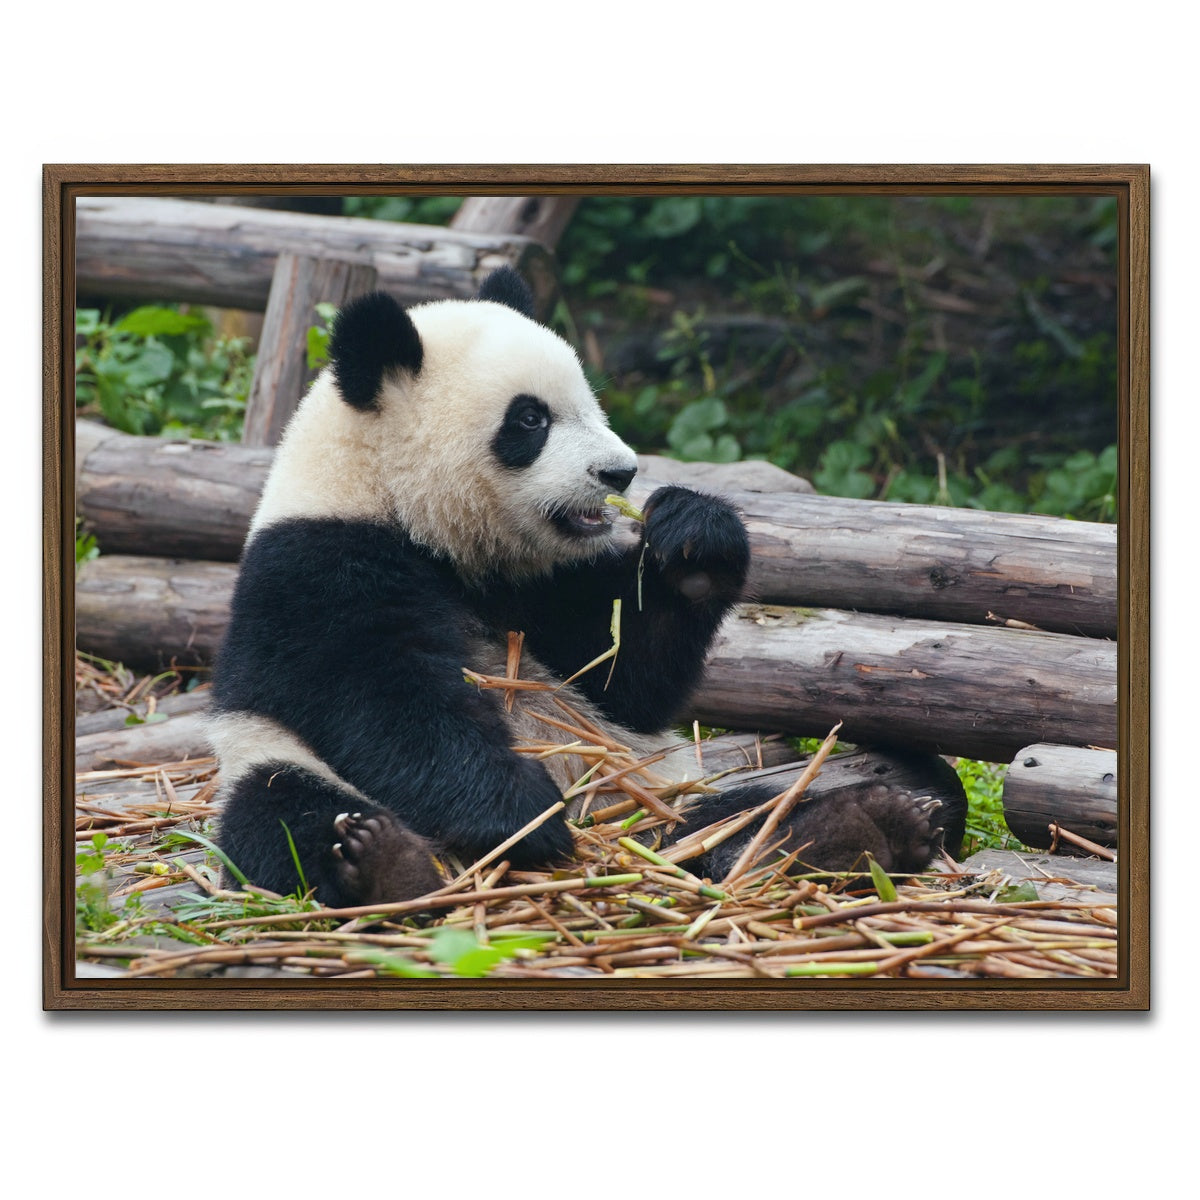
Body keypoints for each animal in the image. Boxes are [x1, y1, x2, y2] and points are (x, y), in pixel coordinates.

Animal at [208, 266, 964, 907]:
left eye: (590, 403)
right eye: (531, 419)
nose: (619, 472)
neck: (411, 515)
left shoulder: (540, 585)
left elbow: (621, 675)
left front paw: (694, 541)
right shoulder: (317, 566)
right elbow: (384, 699)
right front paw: (522, 815)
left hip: (649, 793)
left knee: (734, 814)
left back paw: (857, 828)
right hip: (267, 758)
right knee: (285, 813)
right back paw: (383, 863)